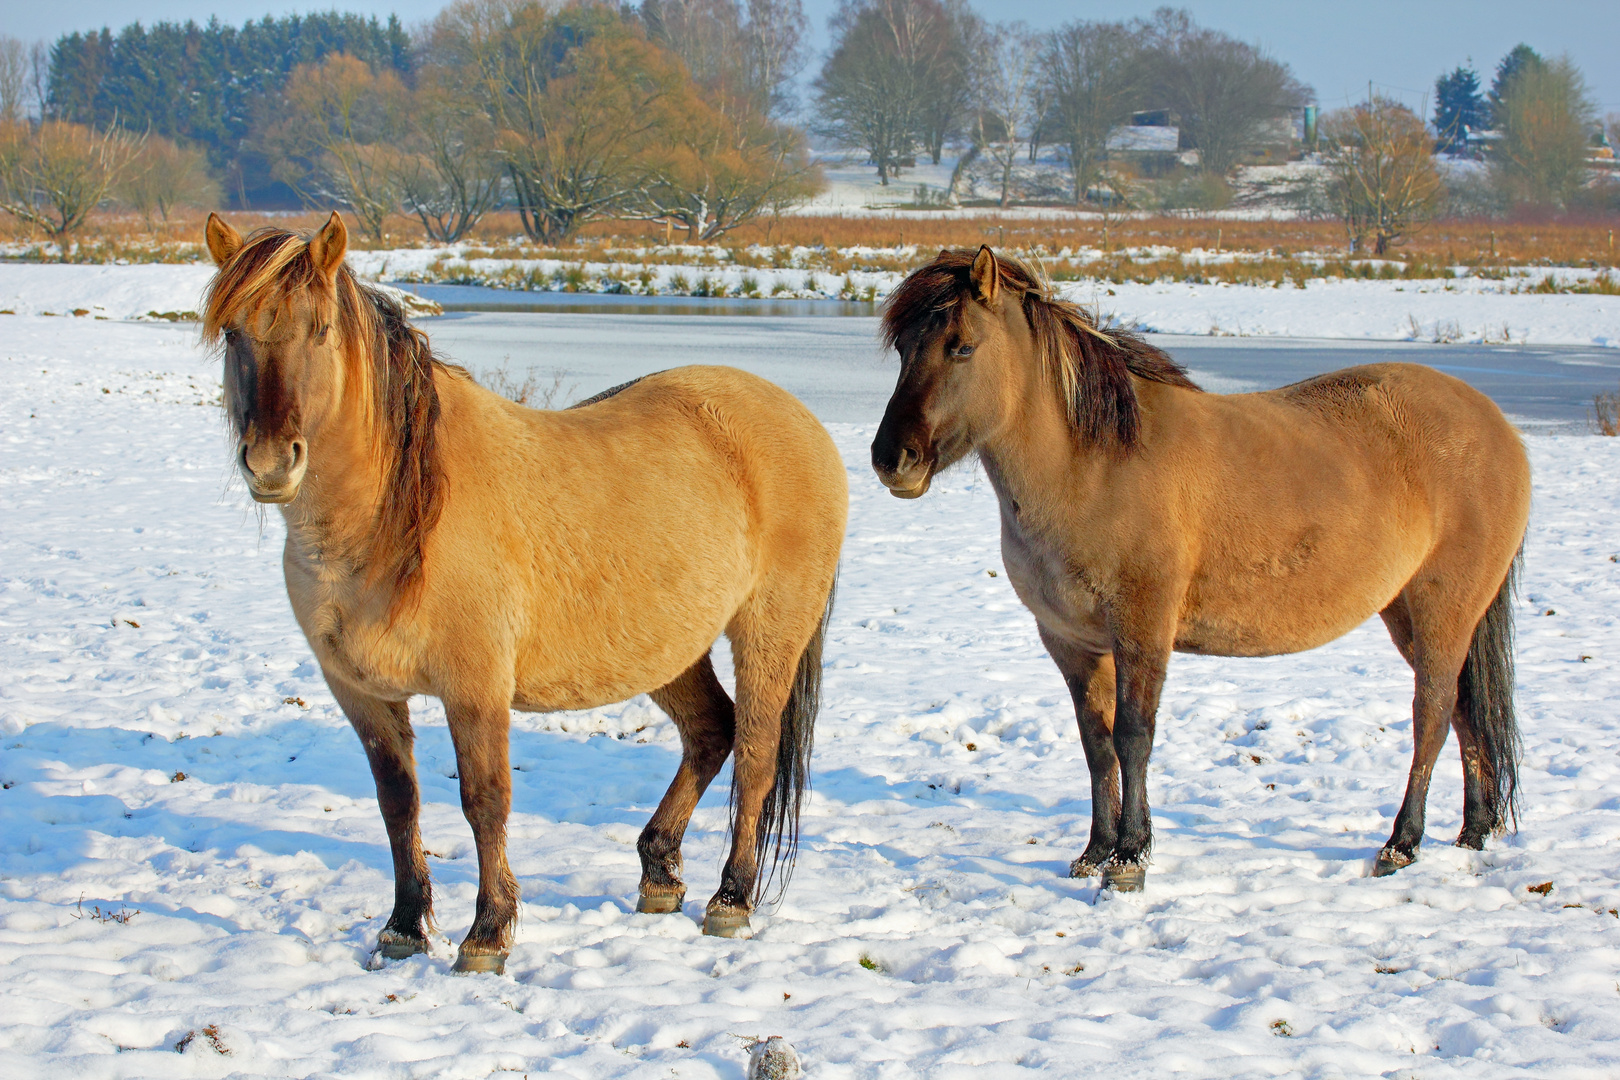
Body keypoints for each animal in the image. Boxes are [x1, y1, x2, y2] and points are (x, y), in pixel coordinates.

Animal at [199, 210, 848, 971]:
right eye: (232, 333)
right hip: (666, 648)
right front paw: (403, 926)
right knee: (710, 732)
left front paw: (487, 935)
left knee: (754, 754)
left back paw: (731, 899)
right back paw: (659, 873)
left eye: (321, 329)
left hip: (768, 633)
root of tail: (800, 420)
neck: (390, 521)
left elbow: (485, 802)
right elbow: (398, 803)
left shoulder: (475, 687)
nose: (272, 464)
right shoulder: (361, 693)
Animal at [874, 249, 1529, 893]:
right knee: (1466, 711)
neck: (1094, 466)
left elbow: (1133, 736)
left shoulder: (1143, 629)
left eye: (962, 345)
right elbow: (1097, 745)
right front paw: (1094, 852)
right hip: (1410, 614)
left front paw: (1129, 861)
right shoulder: (1072, 642)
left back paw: (1402, 845)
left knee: (1432, 715)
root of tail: (1495, 424)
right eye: (904, 348)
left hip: (1442, 609)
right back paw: (1472, 834)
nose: (892, 459)